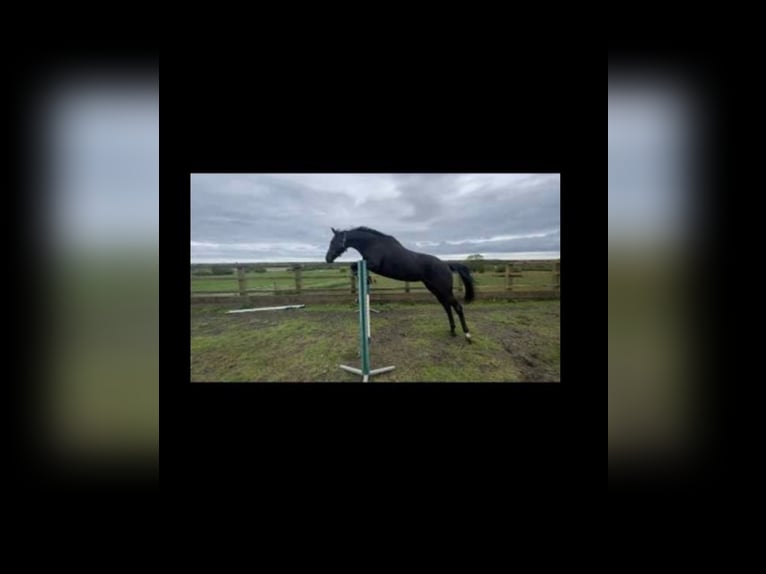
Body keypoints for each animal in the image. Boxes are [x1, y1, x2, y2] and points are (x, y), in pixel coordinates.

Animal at [325, 226, 475, 342]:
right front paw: (366, 280)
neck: (373, 244)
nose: (327, 258)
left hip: (444, 289)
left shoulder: (374, 264)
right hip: (436, 289)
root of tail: (446, 265)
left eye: (334, 241)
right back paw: (452, 331)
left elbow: (353, 265)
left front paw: (366, 280)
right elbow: (353, 266)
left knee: (457, 307)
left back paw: (467, 335)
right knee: (447, 307)